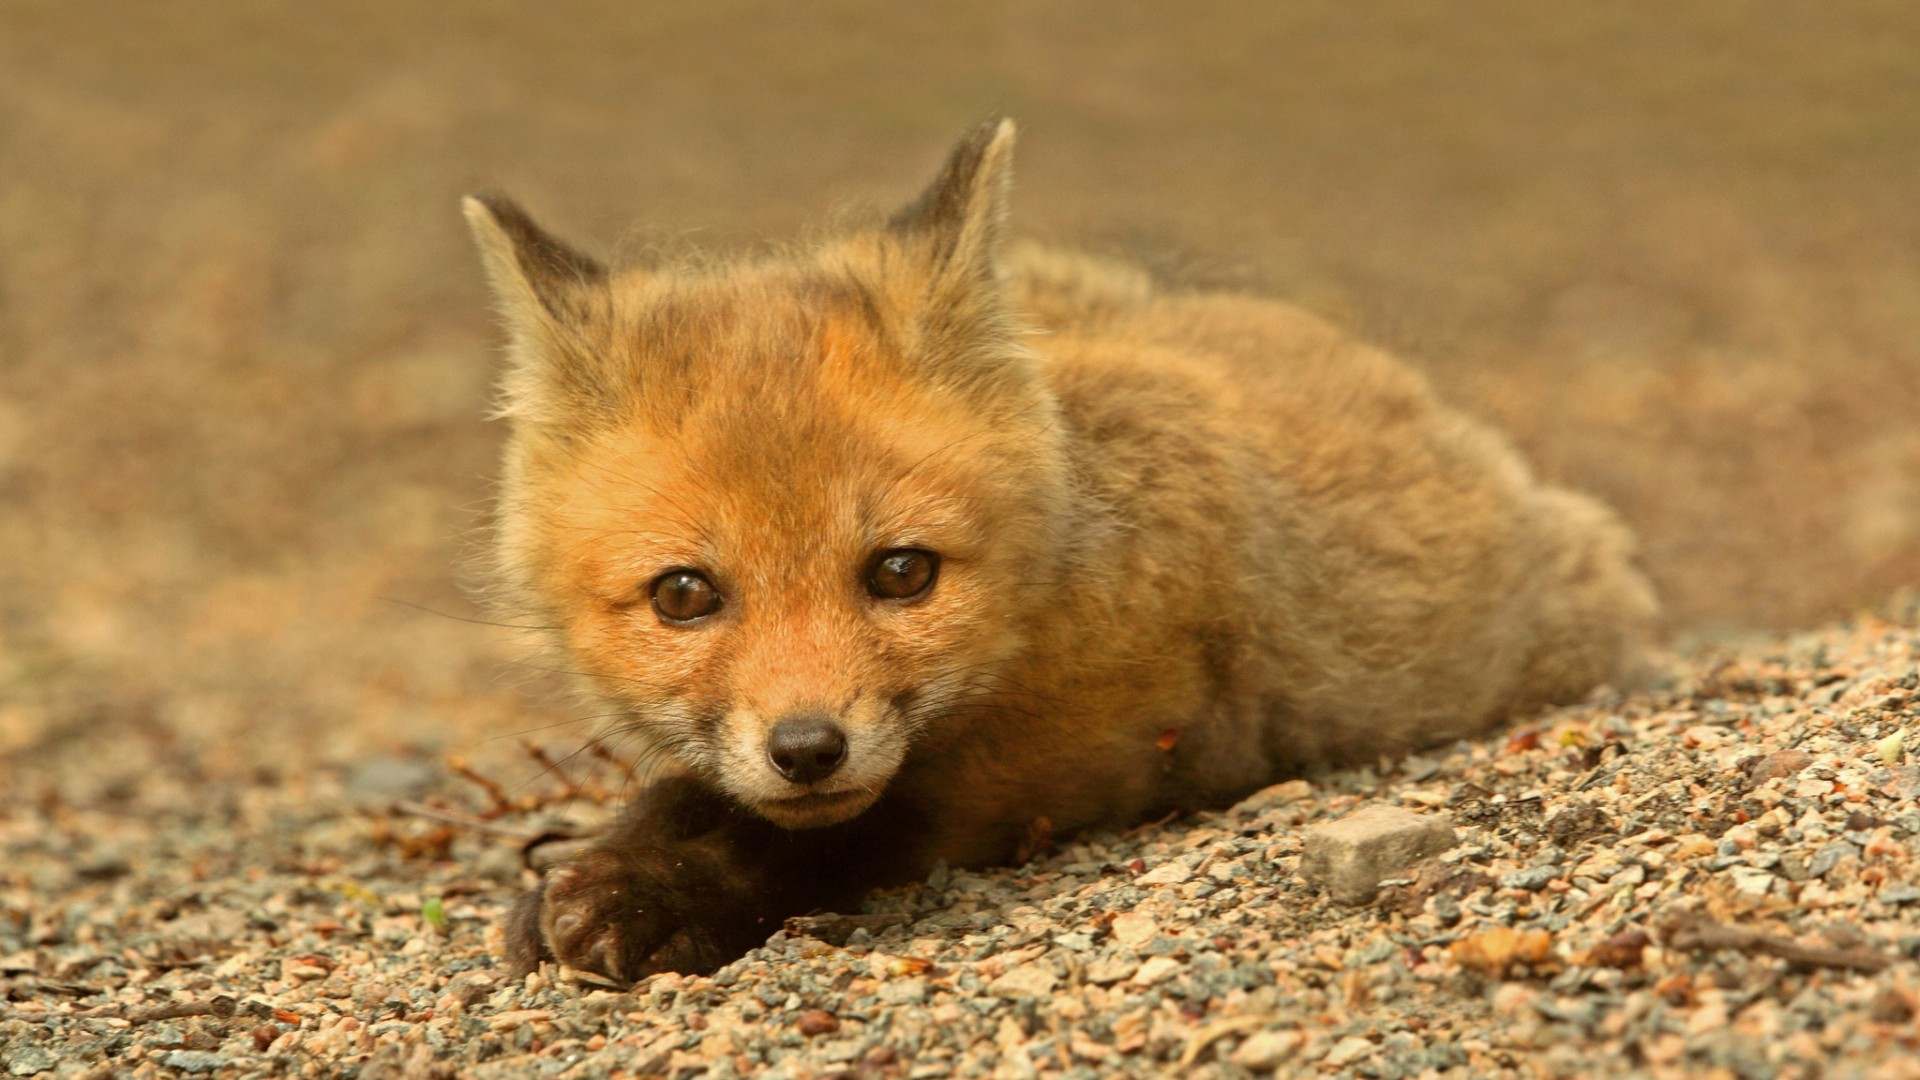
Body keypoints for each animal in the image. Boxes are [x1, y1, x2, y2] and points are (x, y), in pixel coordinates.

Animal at [460, 119, 1651, 983]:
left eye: (903, 572)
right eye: (684, 595)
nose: (808, 749)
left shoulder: (1087, 743)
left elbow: (837, 833)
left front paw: (658, 890)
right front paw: (614, 855)